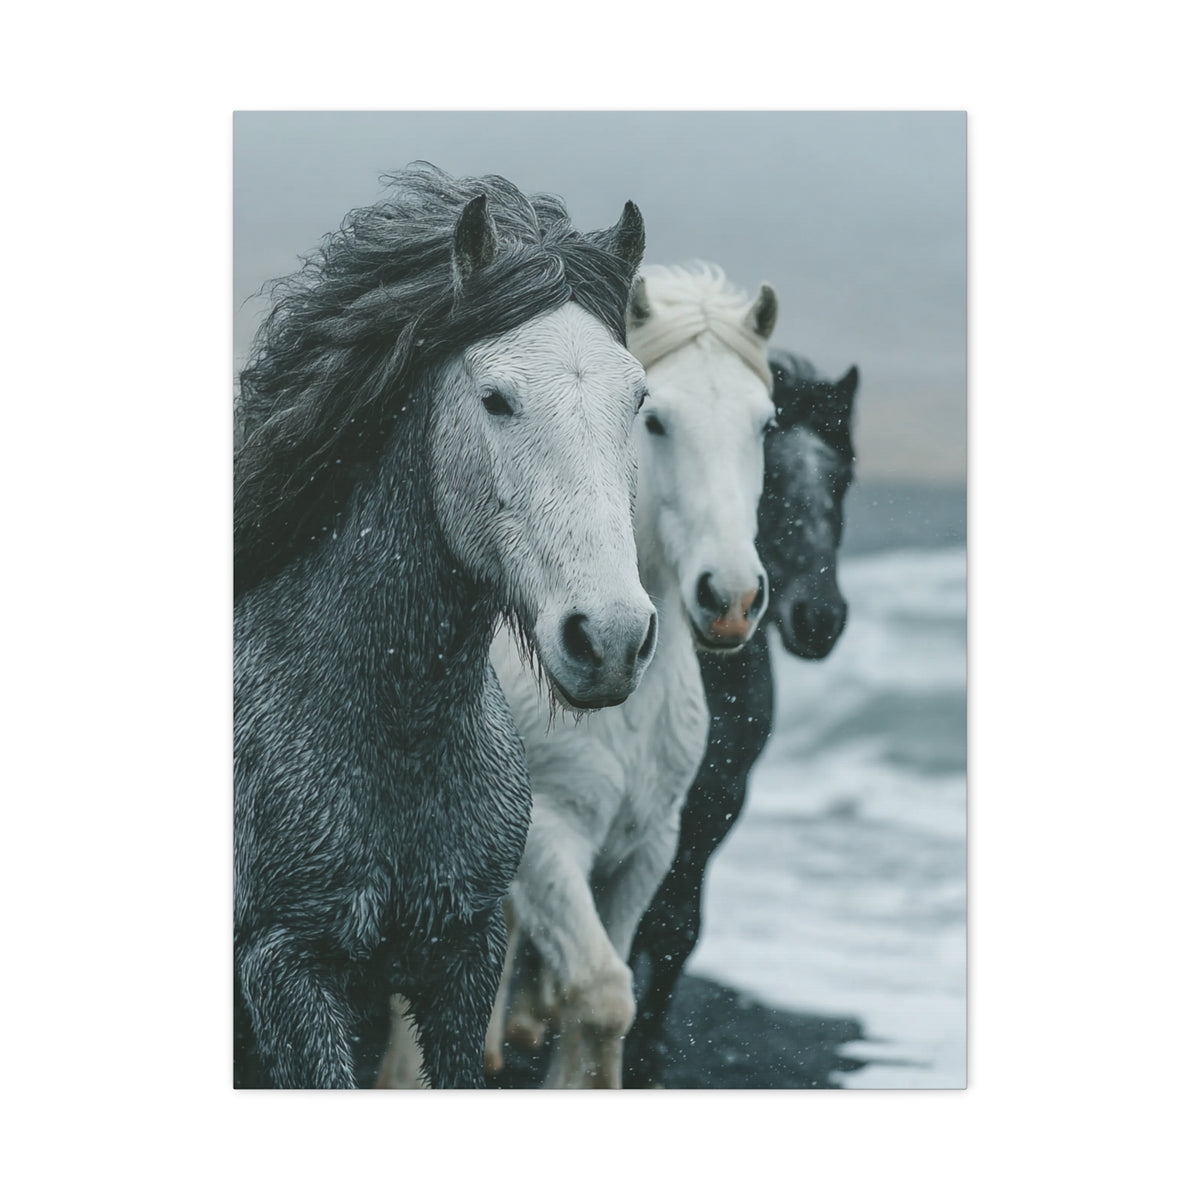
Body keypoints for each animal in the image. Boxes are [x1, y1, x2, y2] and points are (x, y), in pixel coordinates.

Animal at [480, 262, 779, 1088]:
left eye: (765, 424)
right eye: (658, 420)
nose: (731, 598)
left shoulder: (646, 850)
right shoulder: (546, 842)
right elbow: (603, 992)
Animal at [622, 350, 859, 1087]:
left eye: (842, 480)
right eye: (771, 479)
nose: (819, 618)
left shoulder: (716, 802)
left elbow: (675, 930)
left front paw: (645, 1053)